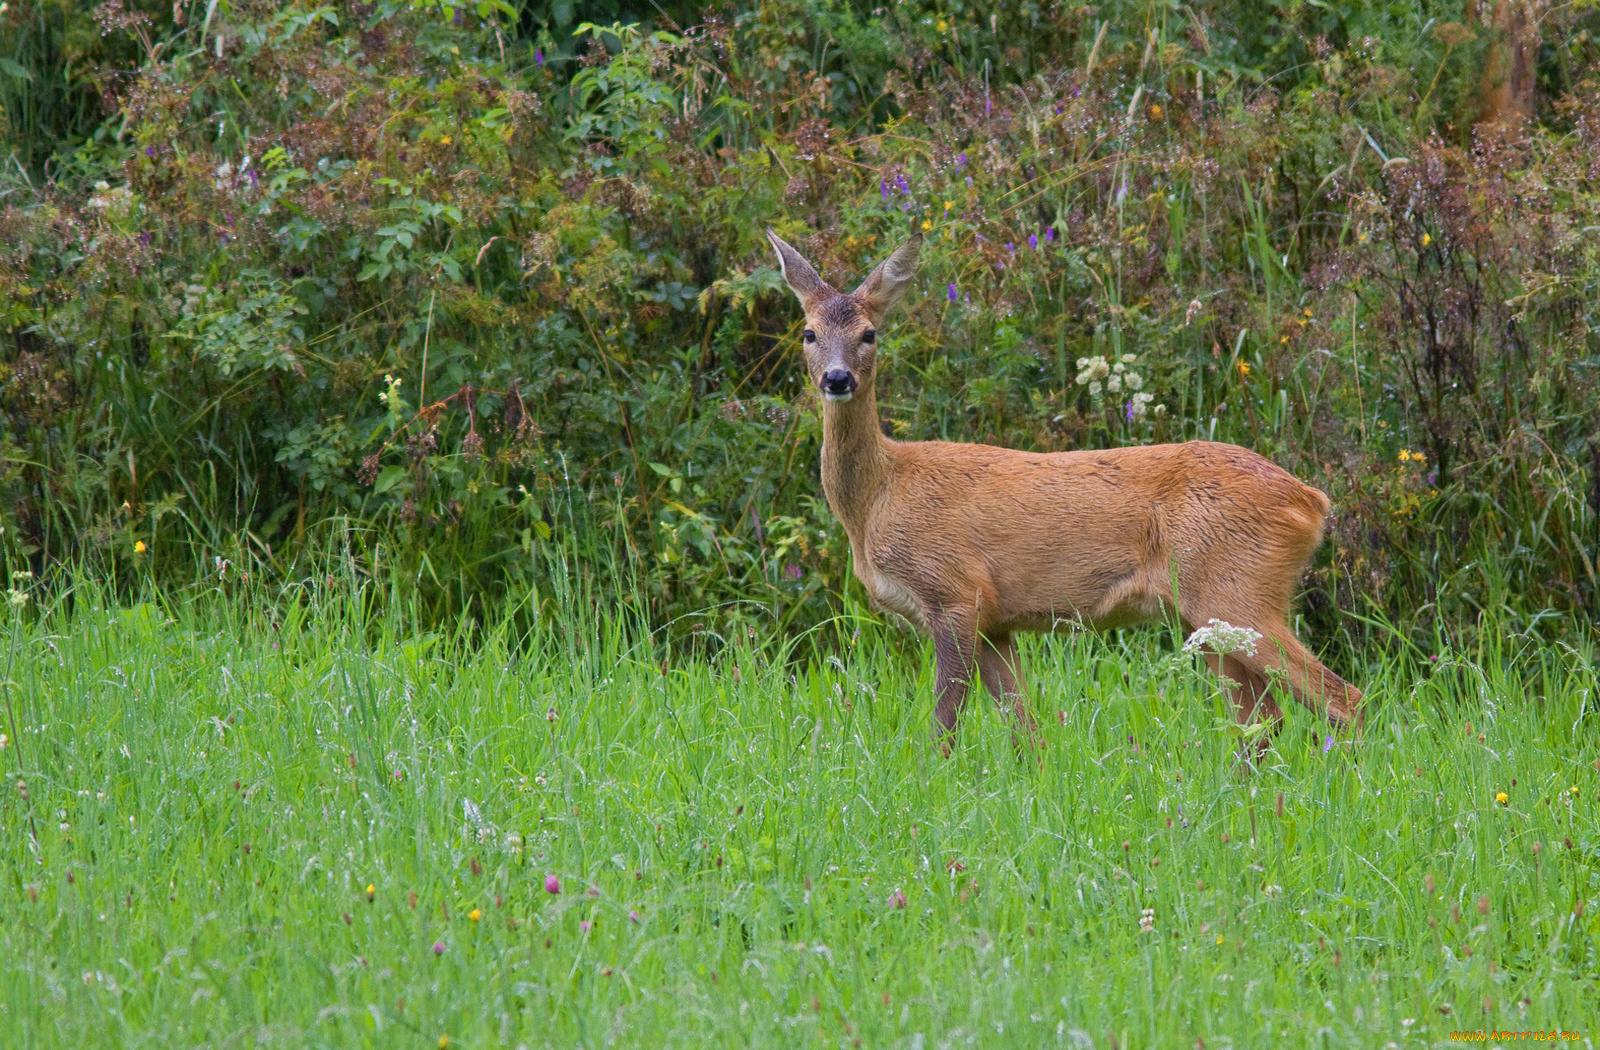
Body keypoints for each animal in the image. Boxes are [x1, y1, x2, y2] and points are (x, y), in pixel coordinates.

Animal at [764, 230, 1363, 755]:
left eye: (870, 334)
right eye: (808, 333)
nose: (837, 379)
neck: (877, 501)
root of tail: (1311, 502)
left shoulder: (955, 591)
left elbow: (945, 722)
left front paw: (928, 781)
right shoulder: (996, 621)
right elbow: (1025, 728)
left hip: (1237, 590)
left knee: (1342, 698)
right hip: (1204, 615)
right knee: (1262, 717)